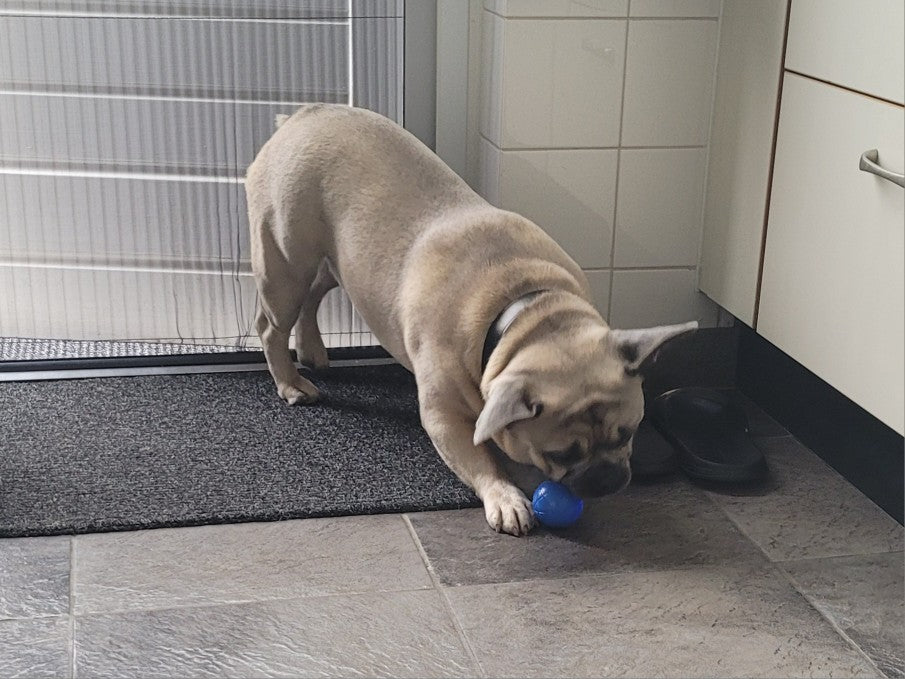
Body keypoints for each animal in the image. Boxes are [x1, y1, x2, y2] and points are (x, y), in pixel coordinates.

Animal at [246, 104, 697, 536]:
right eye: (560, 454)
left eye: (629, 432)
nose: (606, 479)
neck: (528, 312)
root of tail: (303, 116)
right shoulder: (444, 418)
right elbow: (482, 462)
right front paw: (506, 497)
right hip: (286, 264)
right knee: (272, 325)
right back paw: (290, 384)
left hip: (336, 267)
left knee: (313, 297)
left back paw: (313, 351)